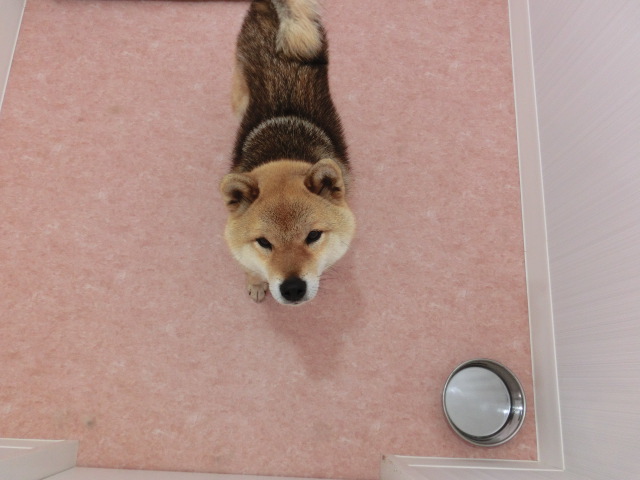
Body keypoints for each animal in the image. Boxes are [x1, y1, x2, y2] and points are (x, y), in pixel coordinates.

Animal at [220, 0, 355, 305]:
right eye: (264, 242)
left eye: (313, 236)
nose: (293, 288)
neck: (283, 148)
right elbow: (250, 268)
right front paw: (256, 283)